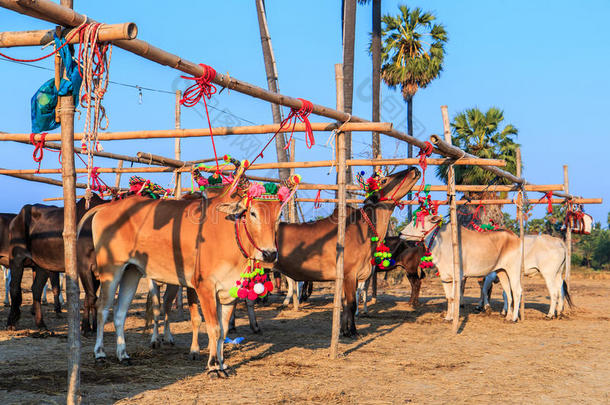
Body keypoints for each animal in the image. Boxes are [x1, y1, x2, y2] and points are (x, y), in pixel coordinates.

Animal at [80, 184, 284, 376]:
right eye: (253, 213)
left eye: (279, 214)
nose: (269, 253)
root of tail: (108, 207)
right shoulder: (204, 287)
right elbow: (214, 328)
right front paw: (213, 366)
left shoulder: (229, 293)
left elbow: (224, 330)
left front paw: (222, 363)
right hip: (111, 270)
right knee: (102, 308)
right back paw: (99, 354)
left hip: (132, 272)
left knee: (120, 313)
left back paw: (123, 355)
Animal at [274, 166, 418, 336]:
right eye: (384, 180)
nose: (413, 168)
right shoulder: (349, 274)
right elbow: (351, 304)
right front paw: (352, 331)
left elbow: (345, 305)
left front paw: (344, 330)